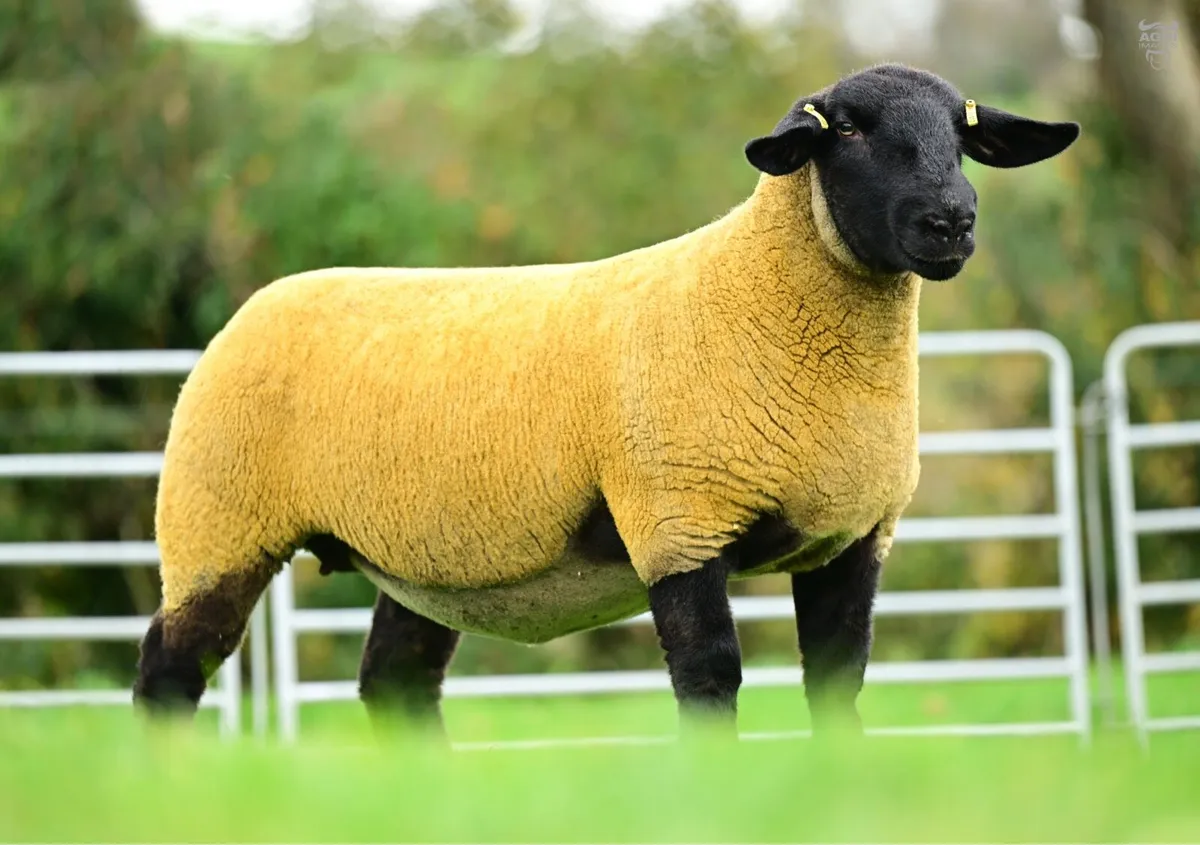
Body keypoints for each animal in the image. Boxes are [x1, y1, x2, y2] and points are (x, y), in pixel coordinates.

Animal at [132, 63, 1078, 739]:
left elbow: (836, 684)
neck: (756, 296)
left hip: (423, 556)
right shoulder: (679, 517)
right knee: (167, 671)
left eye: (962, 133)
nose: (950, 221)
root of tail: (257, 304)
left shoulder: (851, 535)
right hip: (217, 521)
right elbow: (710, 676)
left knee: (396, 684)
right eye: (844, 127)